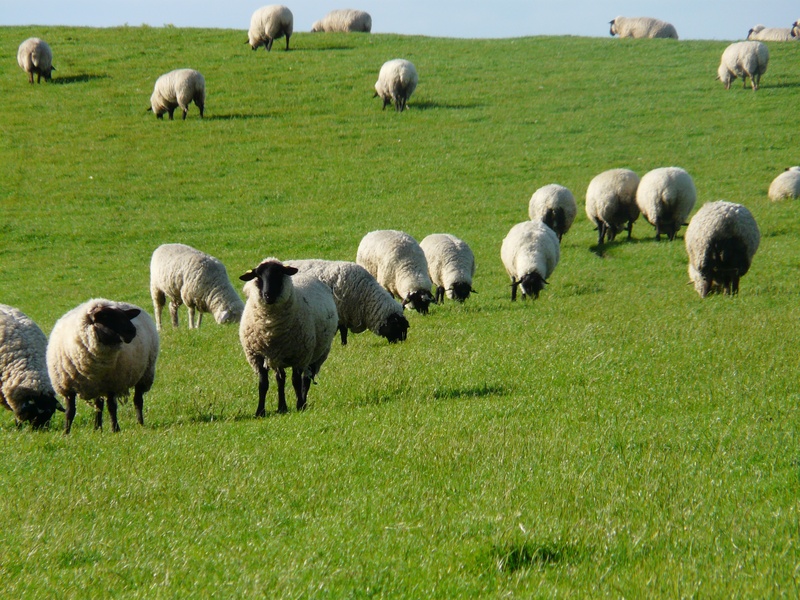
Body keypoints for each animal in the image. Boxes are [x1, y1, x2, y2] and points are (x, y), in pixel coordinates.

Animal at [47, 299, 159, 434]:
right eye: (105, 316)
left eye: (125, 316)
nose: (132, 331)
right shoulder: (68, 388)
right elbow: (70, 411)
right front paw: (66, 432)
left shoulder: (111, 384)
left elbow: (112, 407)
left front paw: (115, 429)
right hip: (97, 386)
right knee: (98, 405)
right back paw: (97, 428)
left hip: (145, 374)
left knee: (137, 400)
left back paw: (140, 423)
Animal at [239, 258, 338, 415]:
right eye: (258, 276)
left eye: (279, 274)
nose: (268, 295)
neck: (271, 327)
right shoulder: (258, 356)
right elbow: (263, 384)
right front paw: (260, 411)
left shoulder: (299, 355)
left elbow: (296, 381)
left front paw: (299, 405)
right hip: (279, 356)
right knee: (281, 379)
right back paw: (282, 407)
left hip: (315, 354)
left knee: (306, 379)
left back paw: (303, 402)